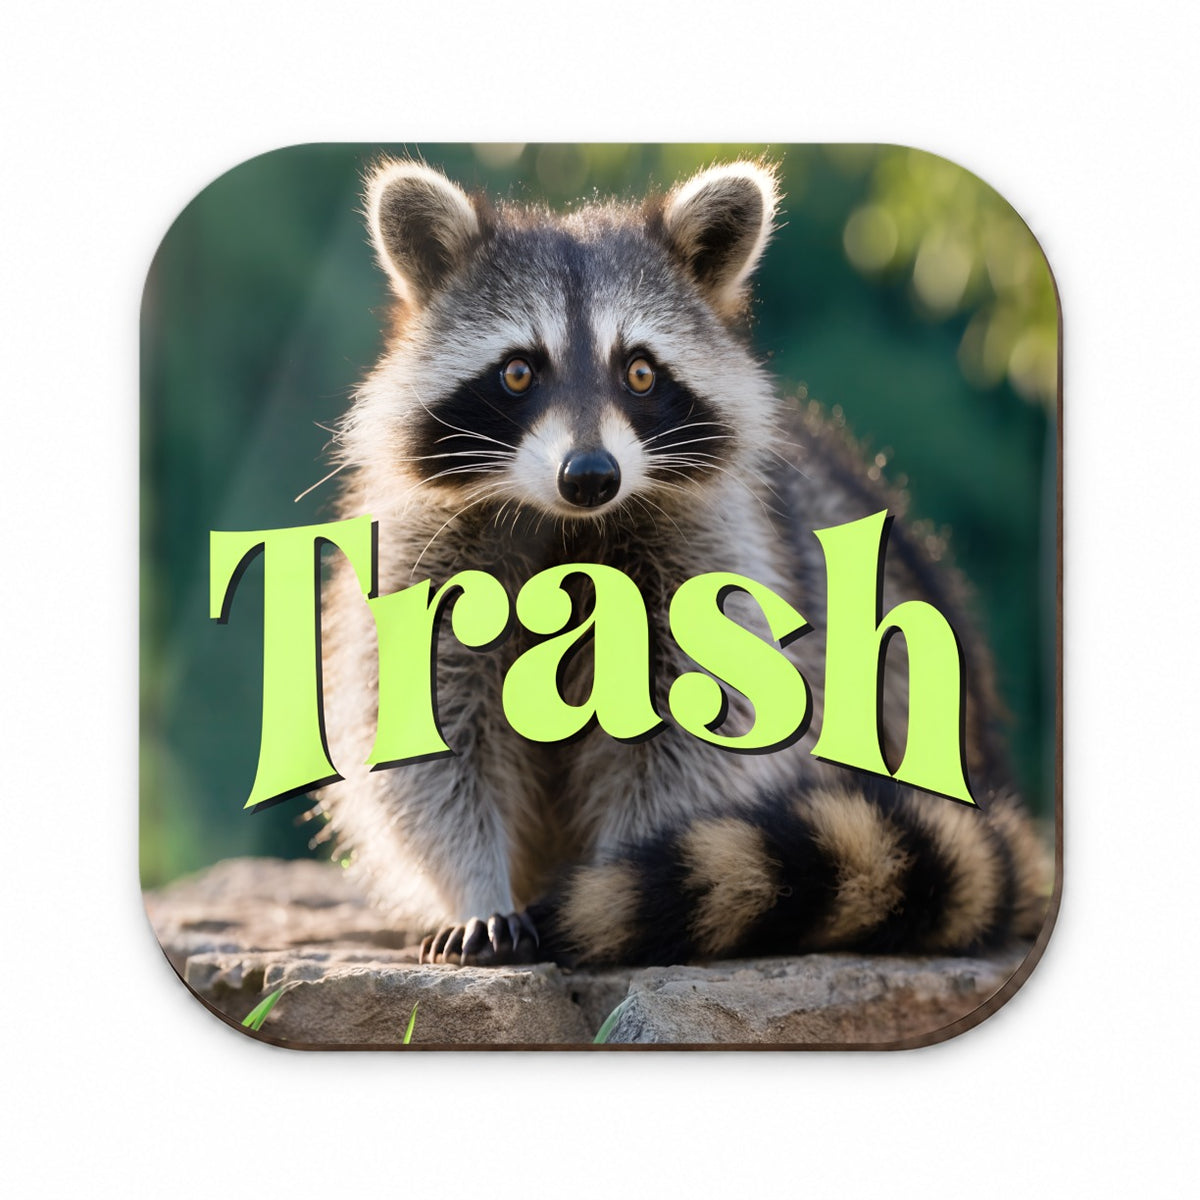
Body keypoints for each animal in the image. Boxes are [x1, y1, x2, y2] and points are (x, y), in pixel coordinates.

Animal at [315, 156, 1050, 968]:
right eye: (517, 373)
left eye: (639, 373)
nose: (590, 475)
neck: (570, 525)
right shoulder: (424, 554)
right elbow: (425, 739)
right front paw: (479, 889)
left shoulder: (712, 553)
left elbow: (693, 735)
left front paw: (626, 880)